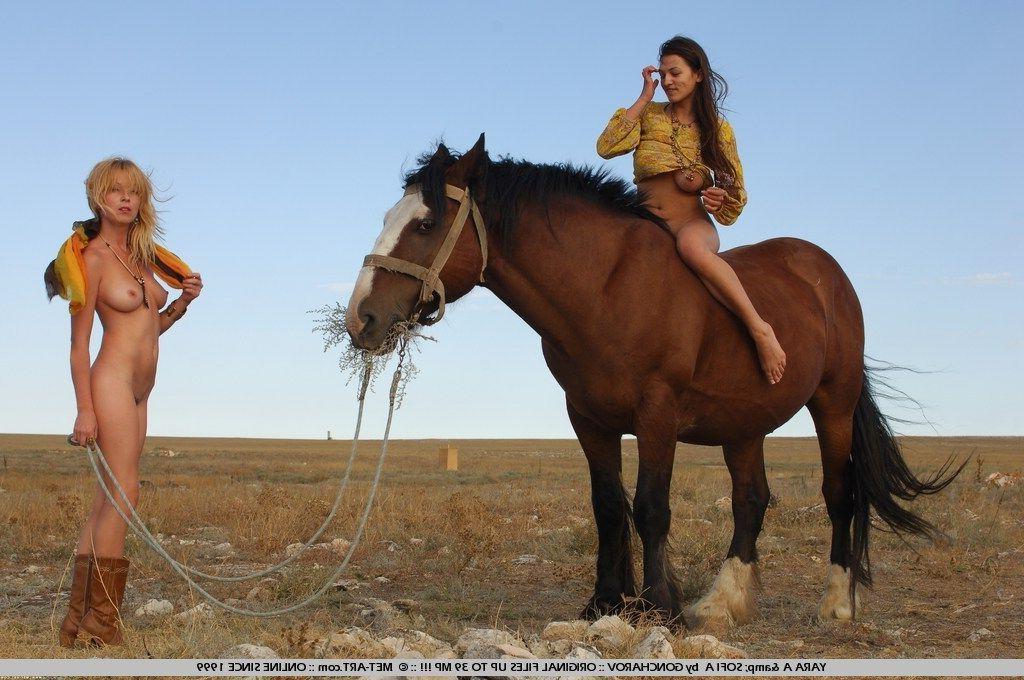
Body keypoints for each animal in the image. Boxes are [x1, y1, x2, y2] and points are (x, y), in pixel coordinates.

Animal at [344, 134, 962, 629]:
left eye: (425, 224)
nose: (361, 319)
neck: (607, 287)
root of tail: (826, 272)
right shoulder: (588, 417)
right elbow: (607, 506)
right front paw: (605, 601)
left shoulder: (657, 414)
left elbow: (650, 508)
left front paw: (659, 606)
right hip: (744, 425)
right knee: (751, 500)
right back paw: (722, 602)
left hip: (832, 403)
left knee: (839, 492)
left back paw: (836, 604)